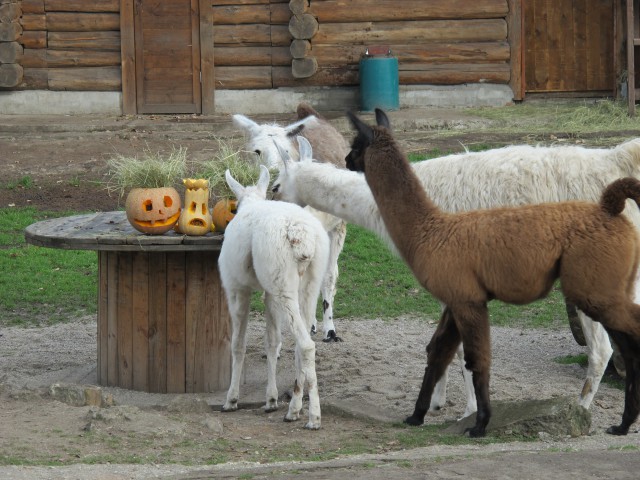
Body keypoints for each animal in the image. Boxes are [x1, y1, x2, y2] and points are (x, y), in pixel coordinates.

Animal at [220, 163, 330, 430]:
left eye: (234, 206)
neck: (249, 203)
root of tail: (302, 236)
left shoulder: (236, 288)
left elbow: (238, 343)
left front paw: (231, 399)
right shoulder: (268, 293)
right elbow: (272, 341)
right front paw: (270, 400)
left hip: (284, 287)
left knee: (306, 345)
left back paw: (313, 417)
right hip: (307, 285)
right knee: (302, 341)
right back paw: (293, 410)